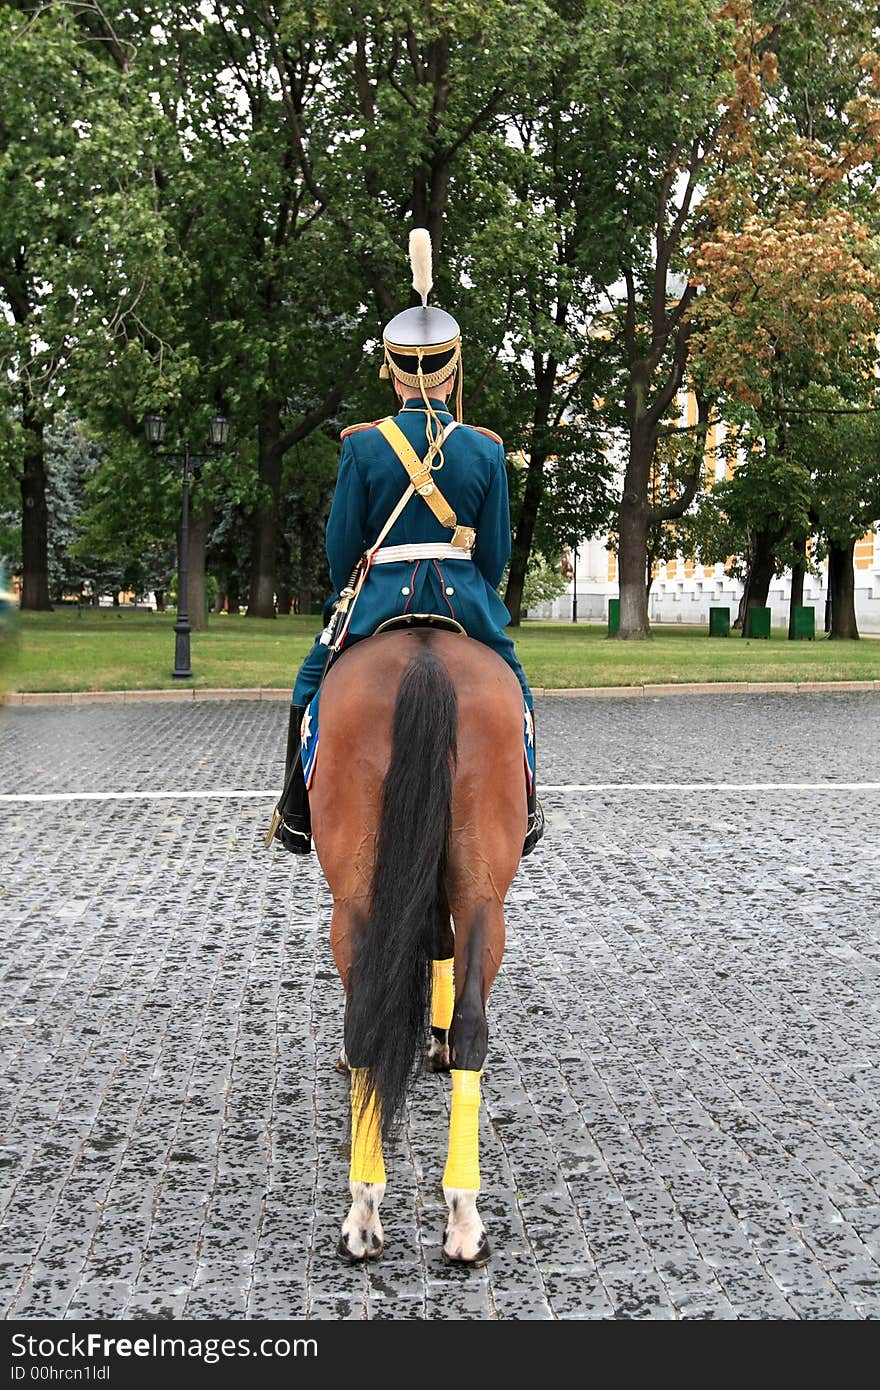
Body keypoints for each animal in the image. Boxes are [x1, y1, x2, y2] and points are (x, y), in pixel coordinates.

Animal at [307, 631, 528, 1273]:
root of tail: (426, 657)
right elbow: (440, 945)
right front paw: (439, 1041)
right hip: (481, 889)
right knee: (474, 1021)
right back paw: (463, 1216)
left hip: (355, 895)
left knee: (365, 1014)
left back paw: (364, 1209)